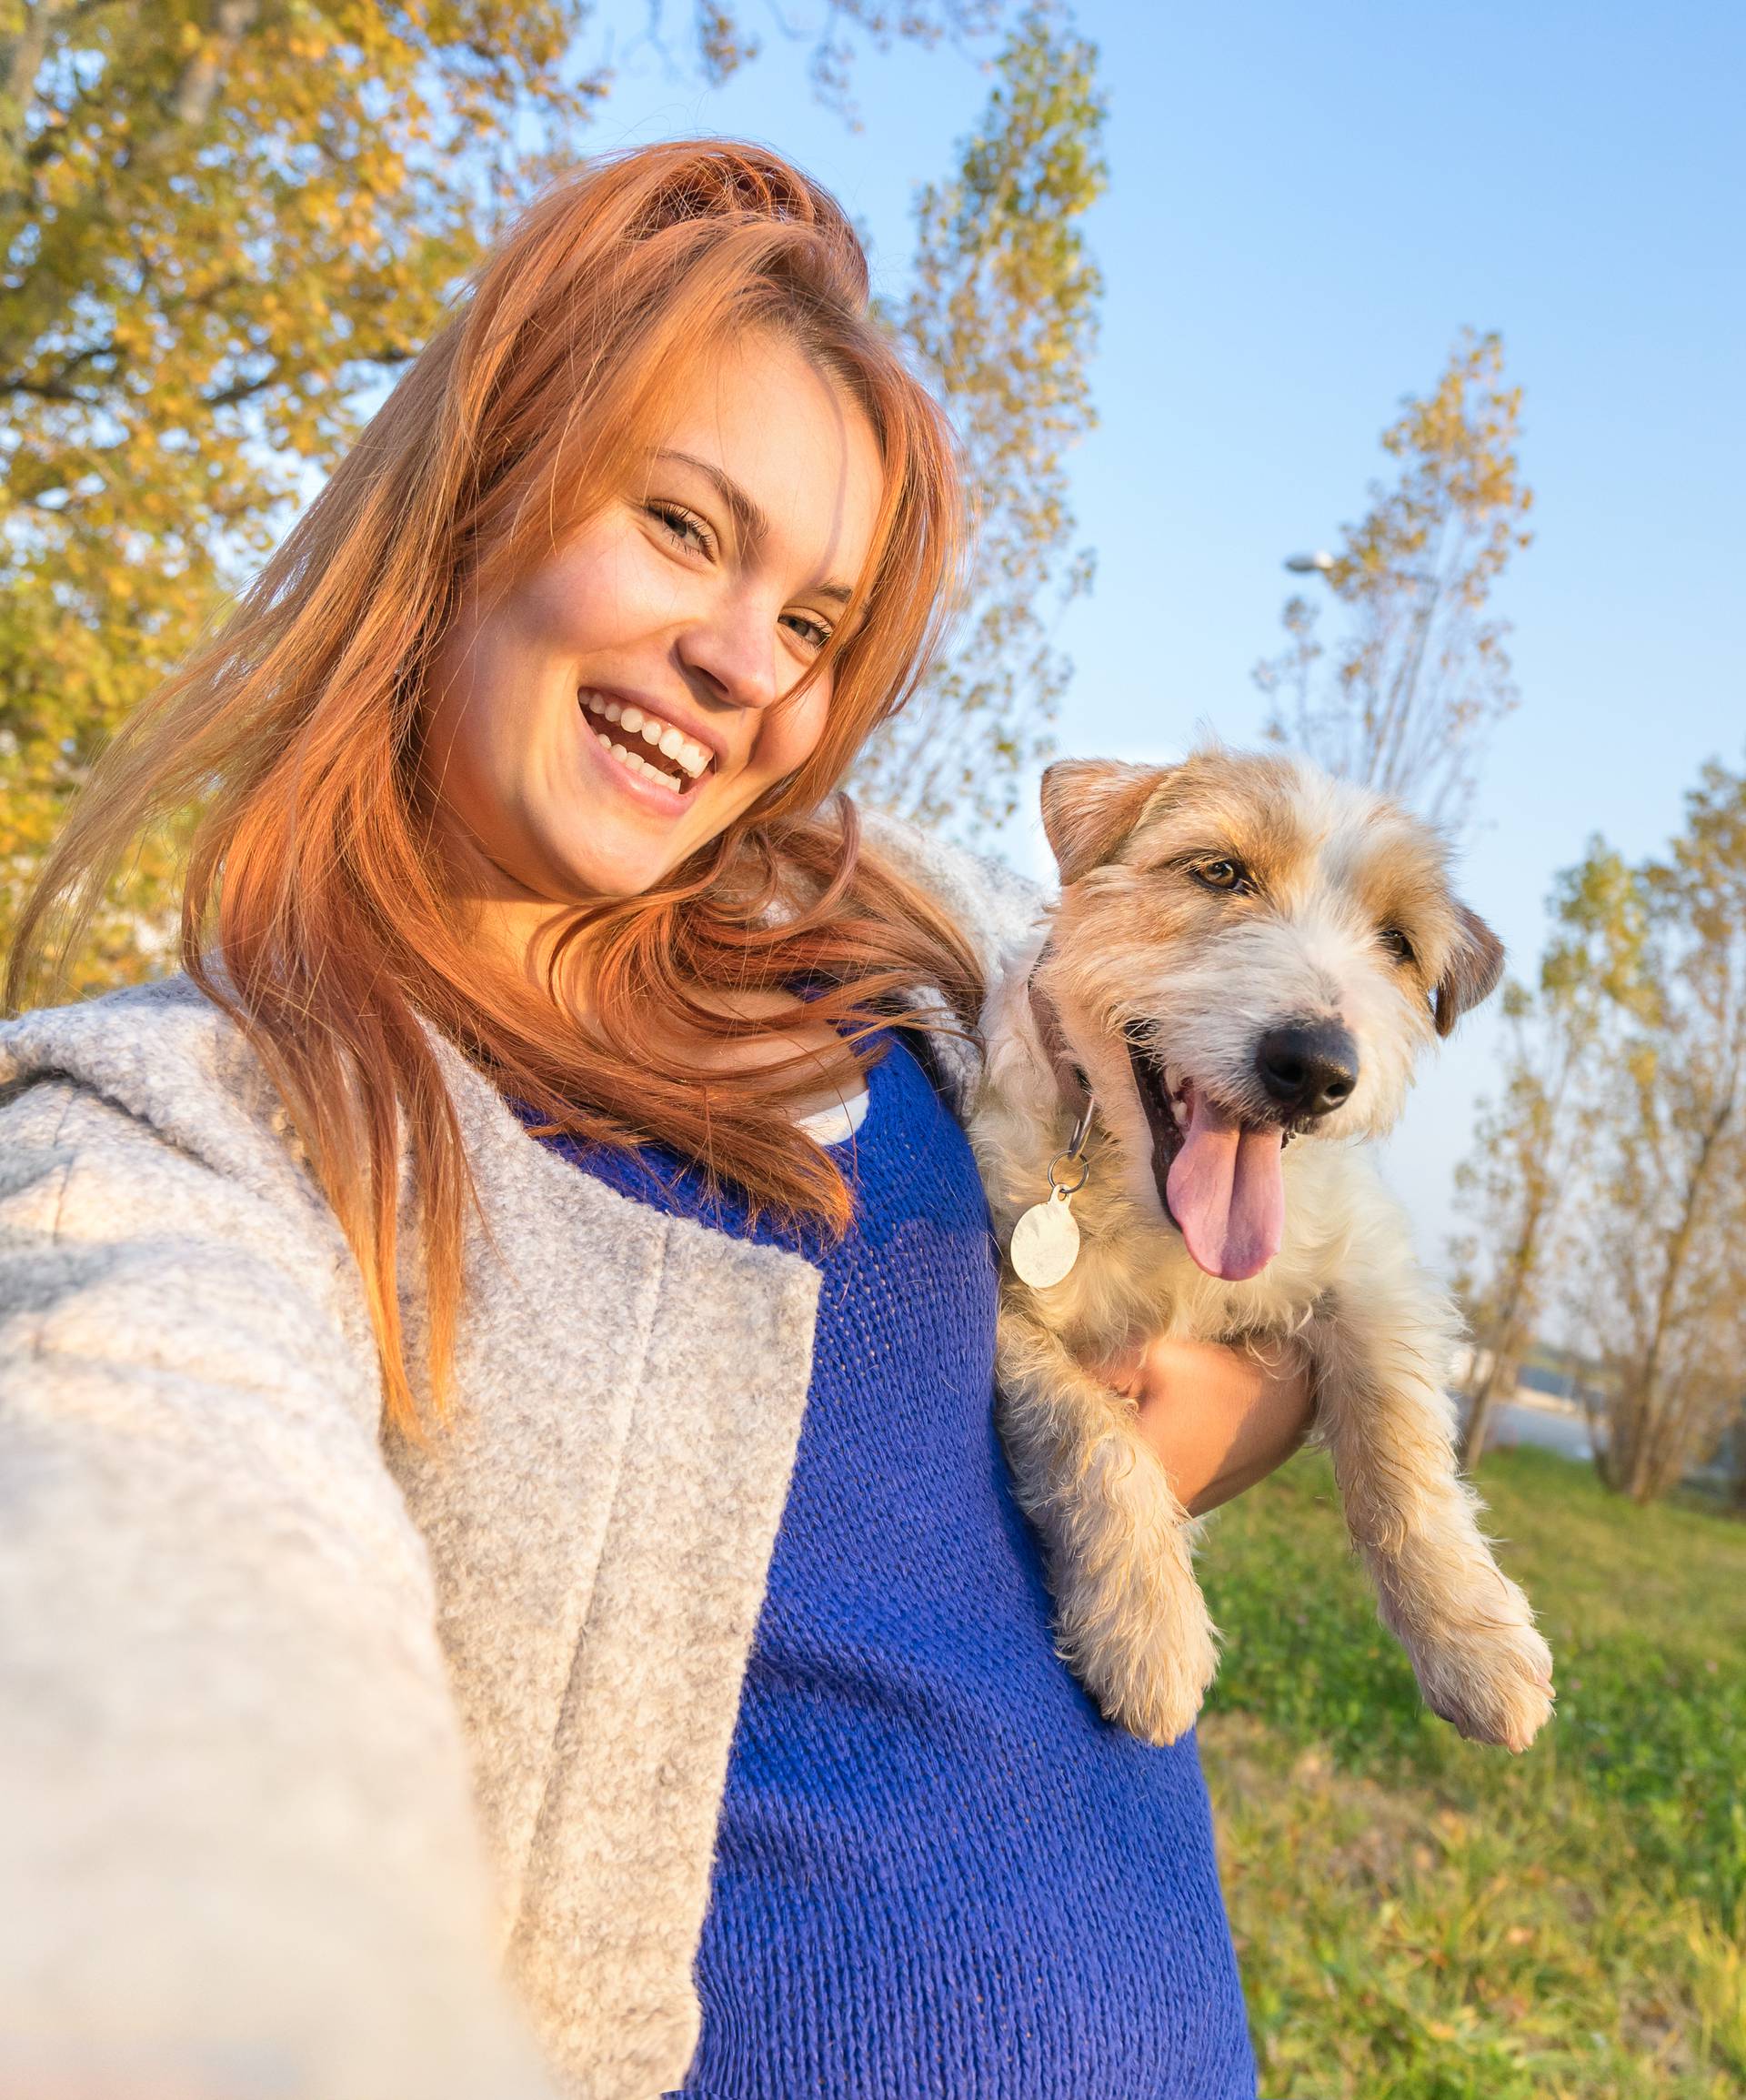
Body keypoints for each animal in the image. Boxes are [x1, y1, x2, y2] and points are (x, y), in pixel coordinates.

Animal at [973, 748, 1560, 1747]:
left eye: (1397, 941)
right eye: (1219, 872)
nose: (1317, 1068)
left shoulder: (1368, 1266)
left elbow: (1400, 1444)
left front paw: (1474, 1639)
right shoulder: (1006, 1304)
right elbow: (1089, 1424)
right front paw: (1148, 1621)